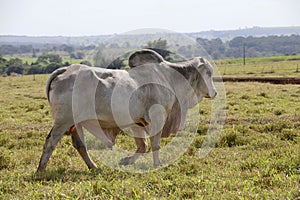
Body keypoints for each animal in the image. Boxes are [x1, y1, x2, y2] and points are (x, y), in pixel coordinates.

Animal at [36, 48, 217, 172]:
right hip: (62, 121)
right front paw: (157, 164)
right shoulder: (157, 118)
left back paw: (93, 167)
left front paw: (125, 161)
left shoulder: (138, 122)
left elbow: (143, 145)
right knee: (50, 142)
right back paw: (41, 170)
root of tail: (65, 70)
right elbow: (155, 144)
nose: (214, 92)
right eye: (208, 72)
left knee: (80, 145)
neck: (169, 78)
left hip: (76, 123)